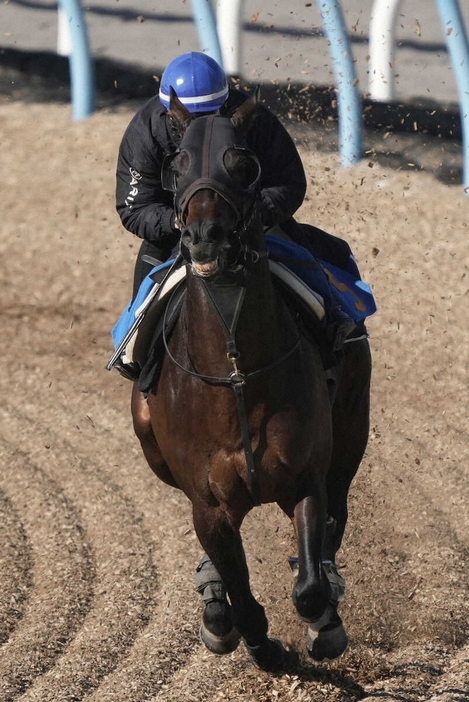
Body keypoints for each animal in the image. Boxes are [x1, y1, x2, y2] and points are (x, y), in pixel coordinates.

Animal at [131, 86, 370, 672]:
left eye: (242, 163)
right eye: (177, 164)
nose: (204, 236)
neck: (235, 374)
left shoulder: (305, 477)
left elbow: (308, 585)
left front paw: (324, 625)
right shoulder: (209, 505)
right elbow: (241, 595)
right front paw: (249, 637)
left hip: (351, 428)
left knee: (337, 517)